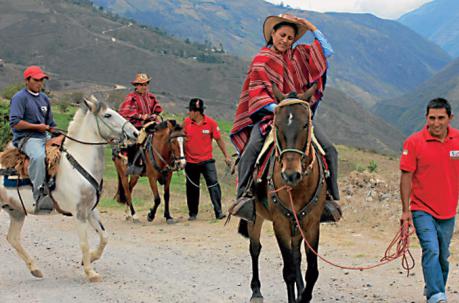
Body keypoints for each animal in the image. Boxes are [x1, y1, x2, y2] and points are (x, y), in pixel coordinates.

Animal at [0, 97, 138, 282]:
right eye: (107, 115)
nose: (135, 133)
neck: (79, 160)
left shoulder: (90, 210)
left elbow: (104, 237)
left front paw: (91, 258)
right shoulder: (79, 213)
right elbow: (84, 243)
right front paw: (90, 272)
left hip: (16, 211)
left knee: (13, 238)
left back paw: (35, 269)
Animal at [239, 98, 328, 303]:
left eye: (305, 125)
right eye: (276, 125)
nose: (290, 175)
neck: (297, 188)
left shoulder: (311, 224)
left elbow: (312, 271)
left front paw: (304, 295)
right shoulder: (280, 223)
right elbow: (288, 271)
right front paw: (295, 298)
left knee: (296, 255)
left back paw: (300, 288)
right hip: (256, 218)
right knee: (255, 248)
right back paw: (256, 291)